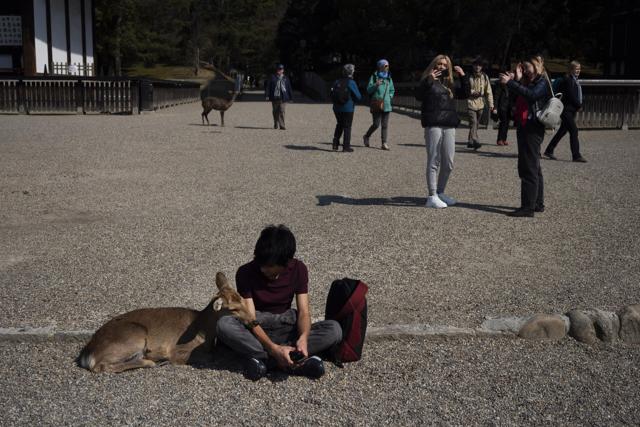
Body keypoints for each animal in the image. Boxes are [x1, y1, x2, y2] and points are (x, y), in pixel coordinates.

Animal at [78, 272, 253, 373]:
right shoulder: (177, 349)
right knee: (100, 366)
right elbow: (204, 357)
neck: (204, 332)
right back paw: (152, 360)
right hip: (134, 337)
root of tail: (88, 353)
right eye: (233, 309)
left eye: (242, 298)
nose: (253, 320)